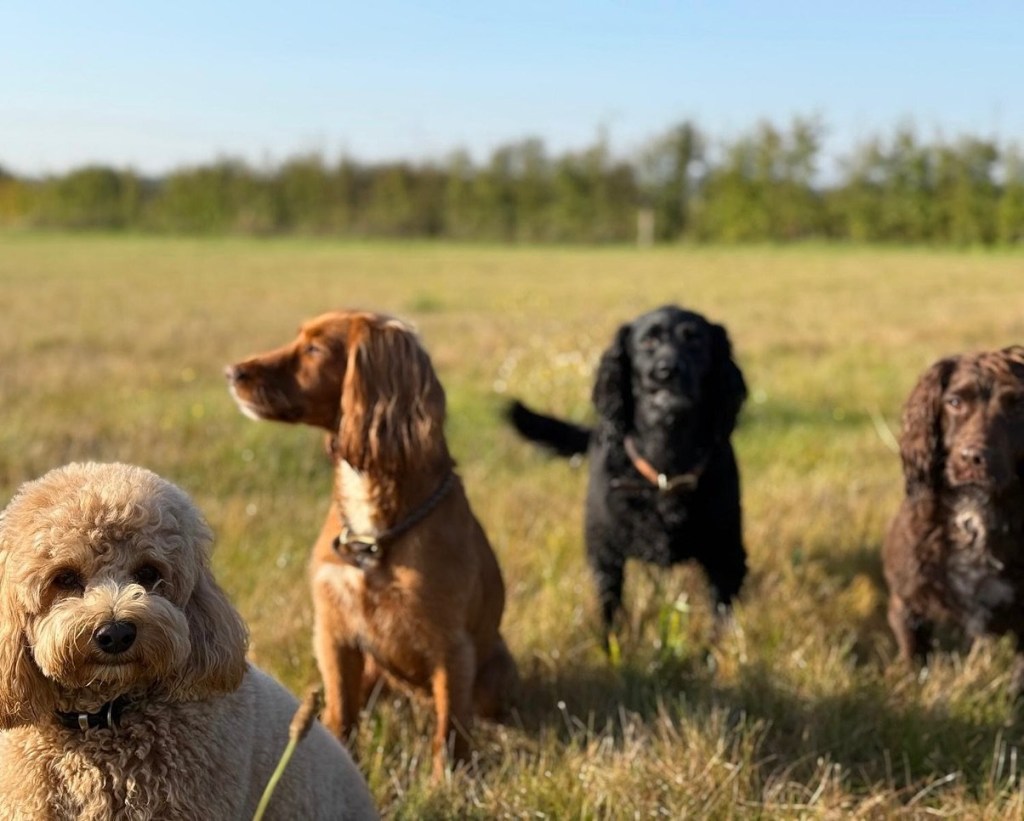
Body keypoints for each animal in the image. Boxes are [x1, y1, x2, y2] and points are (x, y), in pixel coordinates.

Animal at [225, 307, 516, 773]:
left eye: (314, 348)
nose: (233, 372)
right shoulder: (334, 631)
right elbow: (342, 711)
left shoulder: (452, 647)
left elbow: (450, 728)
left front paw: (447, 781)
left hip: (496, 669)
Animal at [507, 305, 749, 634]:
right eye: (647, 342)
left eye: (695, 340)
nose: (665, 371)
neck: (665, 466)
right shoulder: (605, 554)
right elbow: (610, 609)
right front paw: (611, 642)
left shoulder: (726, 552)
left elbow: (721, 617)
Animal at [880, 346, 1024, 692]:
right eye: (955, 402)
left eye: (1016, 406)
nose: (972, 458)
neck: (975, 511)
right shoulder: (906, 603)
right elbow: (915, 659)